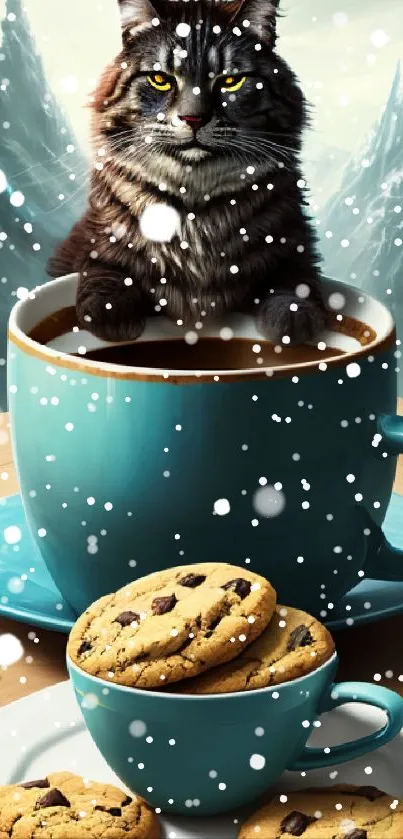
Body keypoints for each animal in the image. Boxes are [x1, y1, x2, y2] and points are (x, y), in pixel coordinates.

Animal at [49, 0, 330, 344]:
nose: (193, 118)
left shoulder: (295, 242)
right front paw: (110, 313)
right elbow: (104, 269)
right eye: (160, 79)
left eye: (230, 82)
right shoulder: (94, 239)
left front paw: (292, 317)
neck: (195, 211)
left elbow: (295, 281)